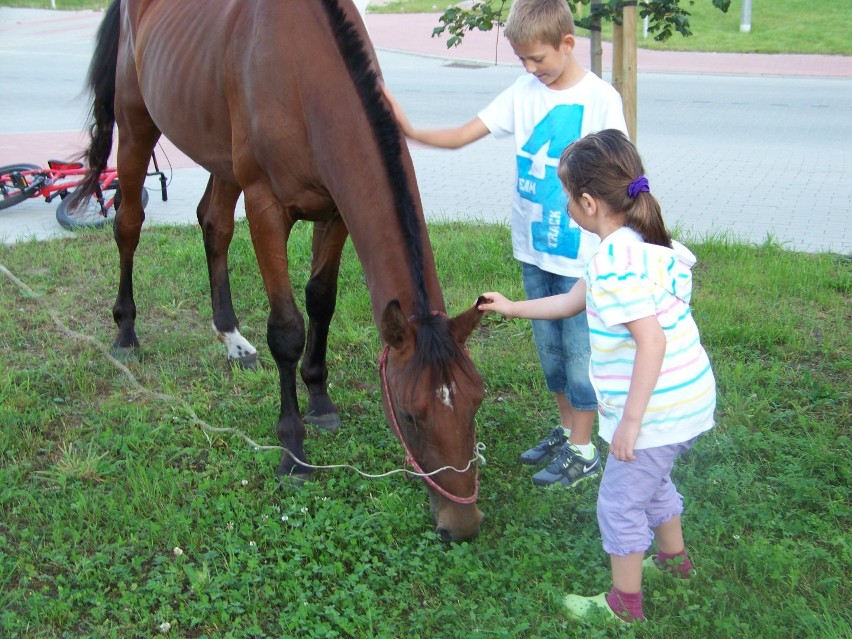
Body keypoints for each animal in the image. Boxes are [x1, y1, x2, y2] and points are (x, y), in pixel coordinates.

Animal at [71, 0, 486, 544]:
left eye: (476, 403)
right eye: (410, 415)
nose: (463, 525)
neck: (302, 73)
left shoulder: (335, 211)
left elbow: (321, 300)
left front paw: (320, 399)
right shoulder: (266, 207)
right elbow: (287, 329)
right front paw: (293, 451)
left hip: (218, 154)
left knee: (213, 224)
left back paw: (232, 339)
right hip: (137, 123)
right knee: (129, 224)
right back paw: (125, 330)